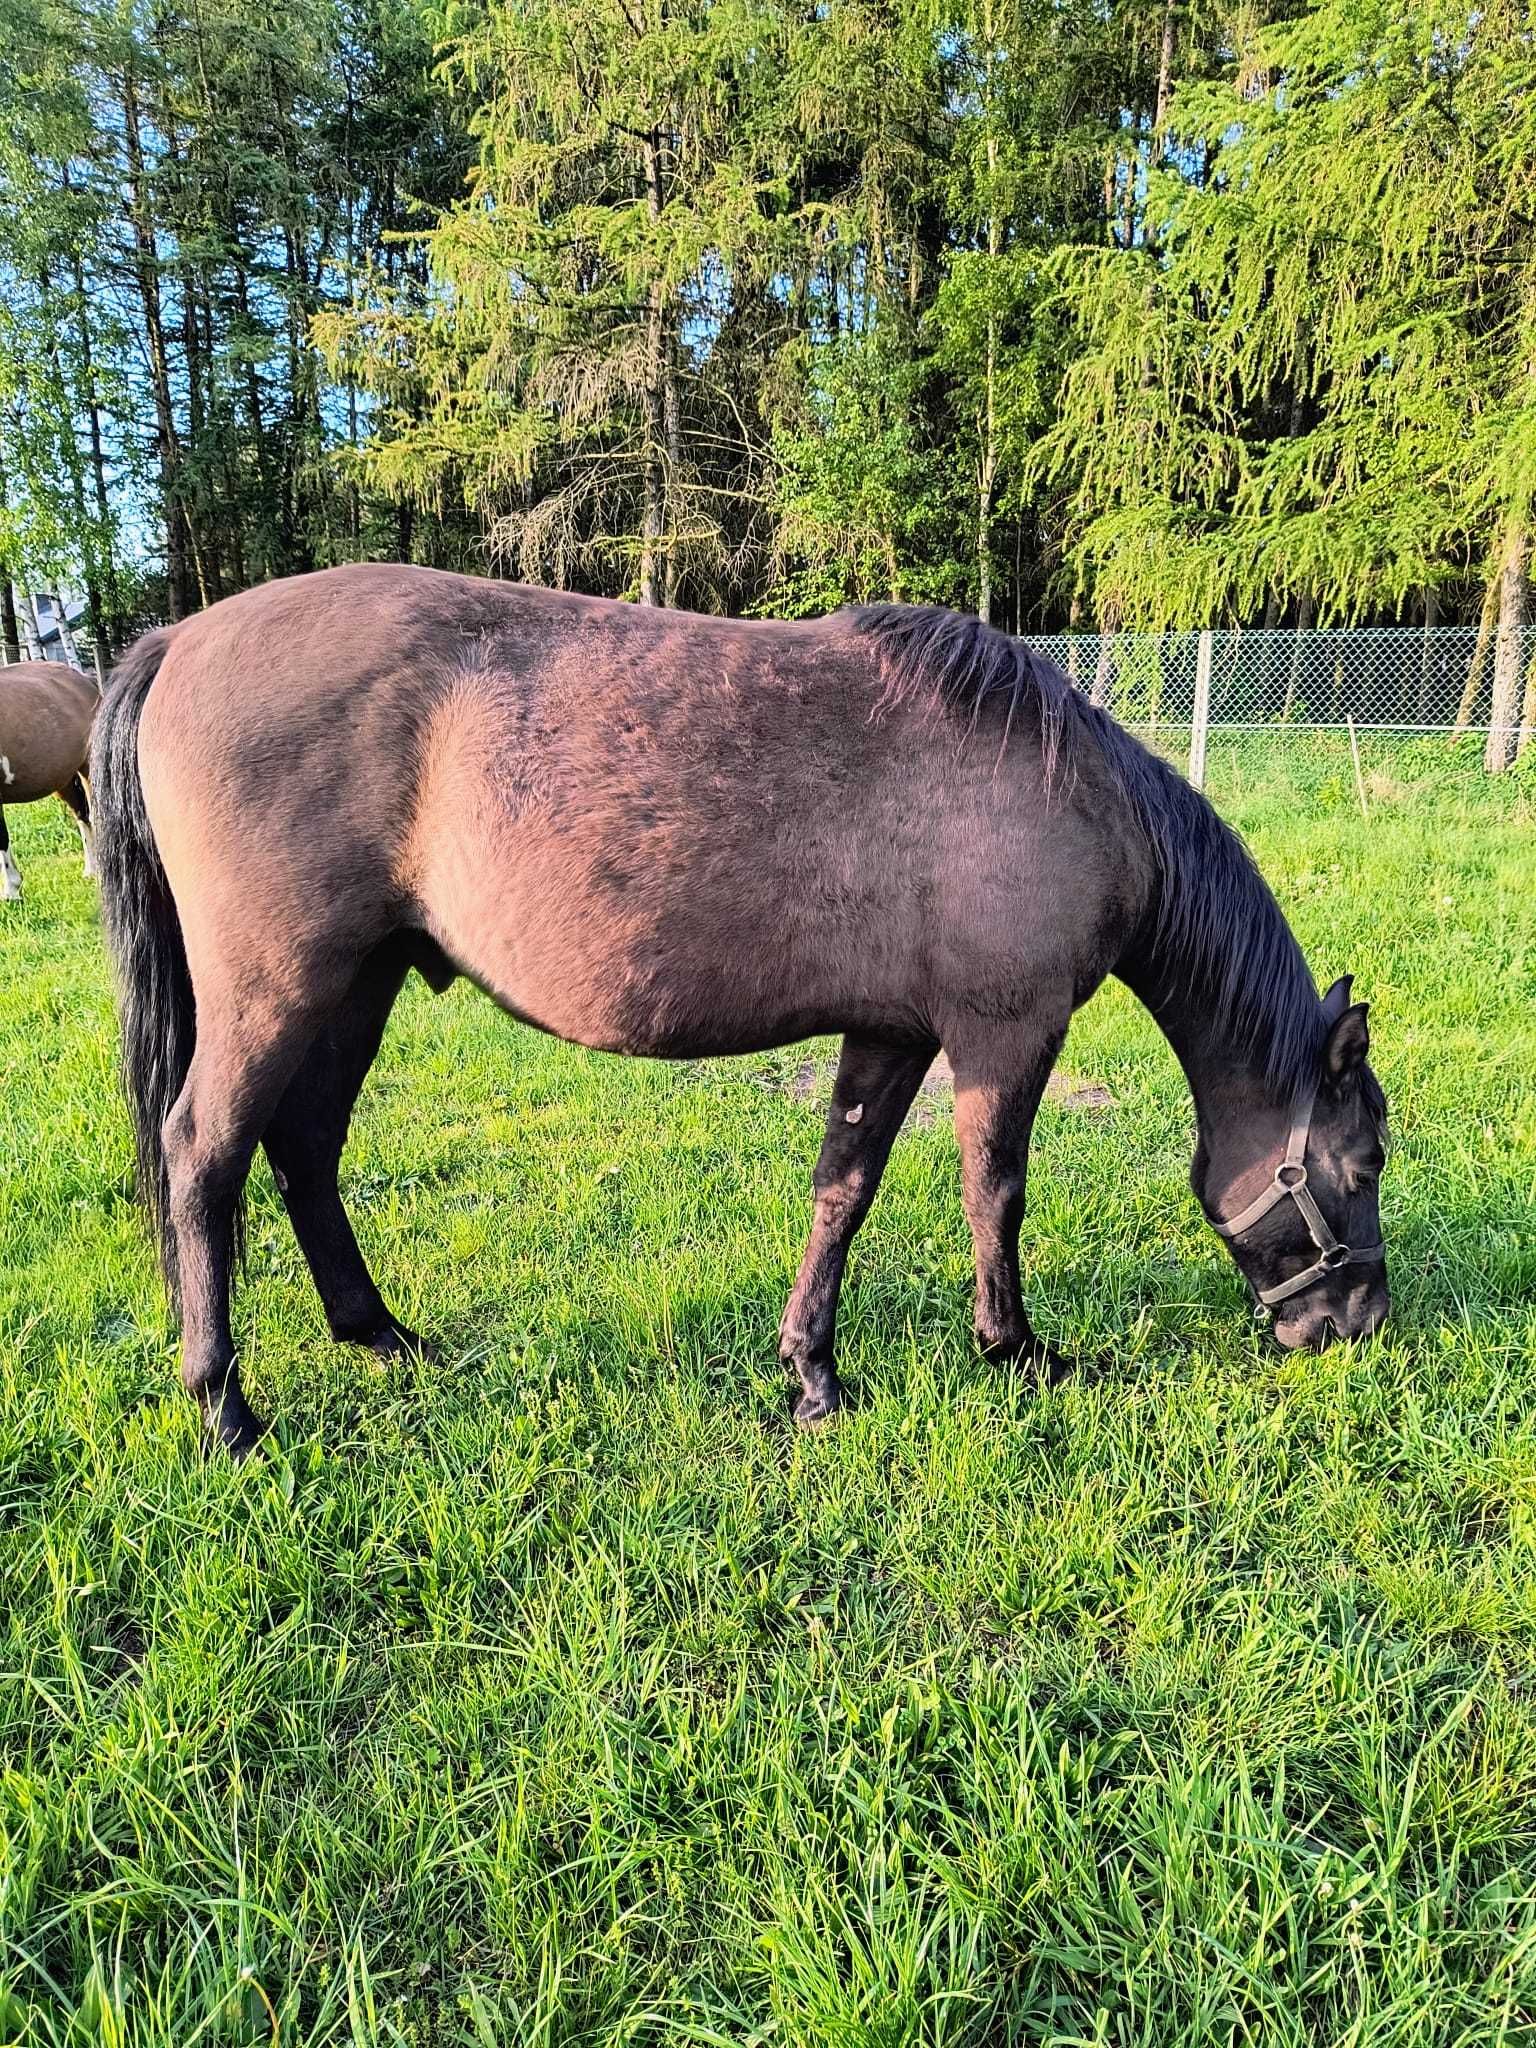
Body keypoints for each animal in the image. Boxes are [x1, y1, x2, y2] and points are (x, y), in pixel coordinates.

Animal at [93, 565, 1392, 1458]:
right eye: (1364, 1161)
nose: (1358, 1322)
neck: (1064, 787)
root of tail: (176, 639)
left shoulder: (894, 1033)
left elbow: (842, 1190)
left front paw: (813, 1372)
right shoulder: (1005, 1034)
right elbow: (997, 1191)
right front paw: (1017, 1349)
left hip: (355, 985)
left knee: (305, 1147)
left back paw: (375, 1332)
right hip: (279, 990)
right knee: (205, 1154)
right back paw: (224, 1406)